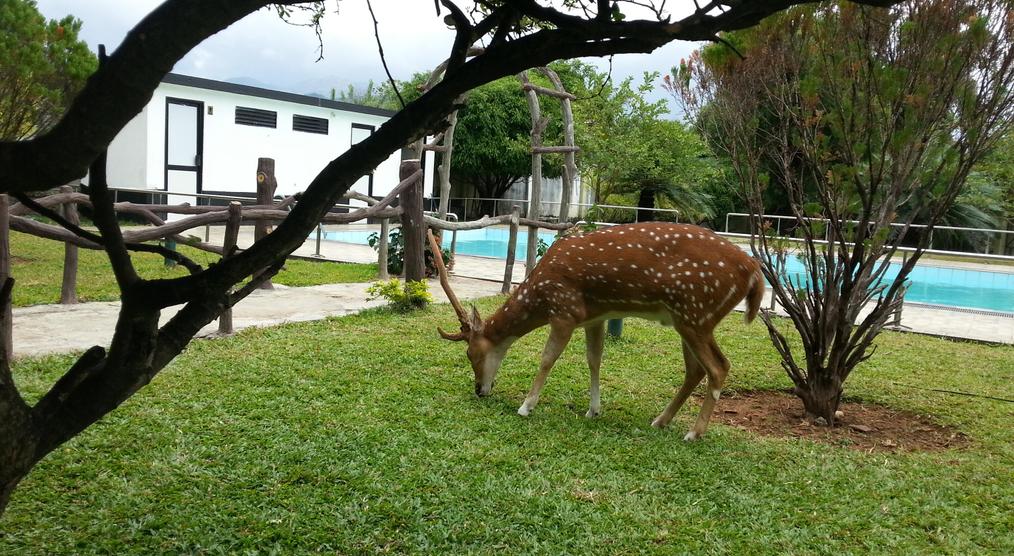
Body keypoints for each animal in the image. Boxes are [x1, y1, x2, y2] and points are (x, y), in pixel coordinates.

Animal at [427, 221, 765, 441]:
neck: (540, 294)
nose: (479, 390)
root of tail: (755, 273)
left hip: (695, 313)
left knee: (719, 367)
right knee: (696, 369)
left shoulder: (565, 311)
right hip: (688, 319)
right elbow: (594, 359)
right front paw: (593, 410)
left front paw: (526, 406)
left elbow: (547, 359)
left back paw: (694, 432)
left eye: (471, 354)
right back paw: (660, 421)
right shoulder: (594, 317)